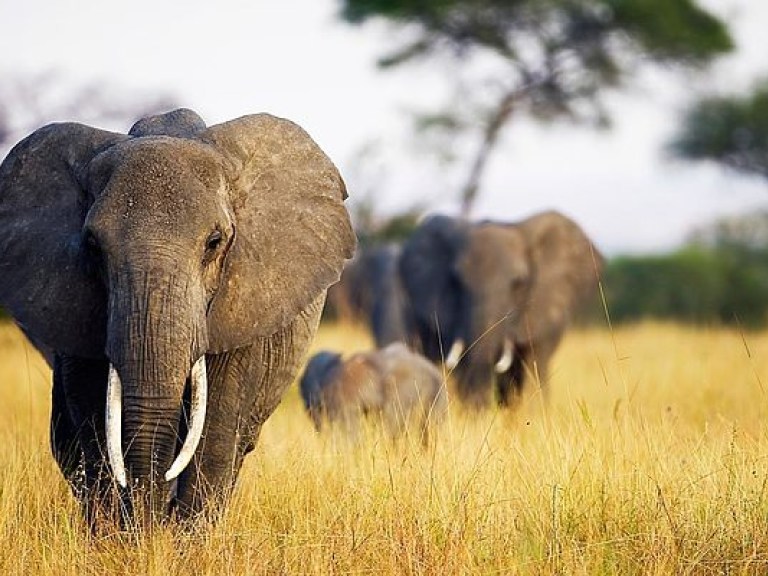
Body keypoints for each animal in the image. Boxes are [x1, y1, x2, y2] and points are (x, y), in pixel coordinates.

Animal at [0, 108, 356, 532]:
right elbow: (93, 418)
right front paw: (120, 539)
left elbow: (216, 424)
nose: (152, 525)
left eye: (214, 243)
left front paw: (182, 541)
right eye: (93, 247)